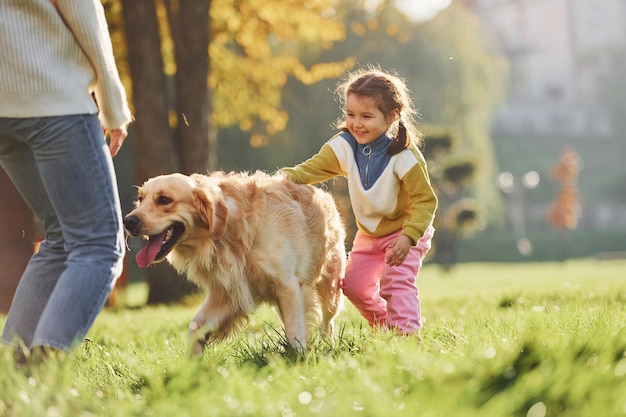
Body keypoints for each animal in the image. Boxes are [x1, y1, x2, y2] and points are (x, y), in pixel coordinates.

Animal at [123, 170, 344, 354]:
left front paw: (298, 359)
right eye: (141, 198)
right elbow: (195, 326)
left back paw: (327, 345)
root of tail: (323, 194)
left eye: (164, 200)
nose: (128, 221)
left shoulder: (288, 285)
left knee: (327, 322)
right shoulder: (227, 292)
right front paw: (192, 366)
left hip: (330, 289)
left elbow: (295, 332)